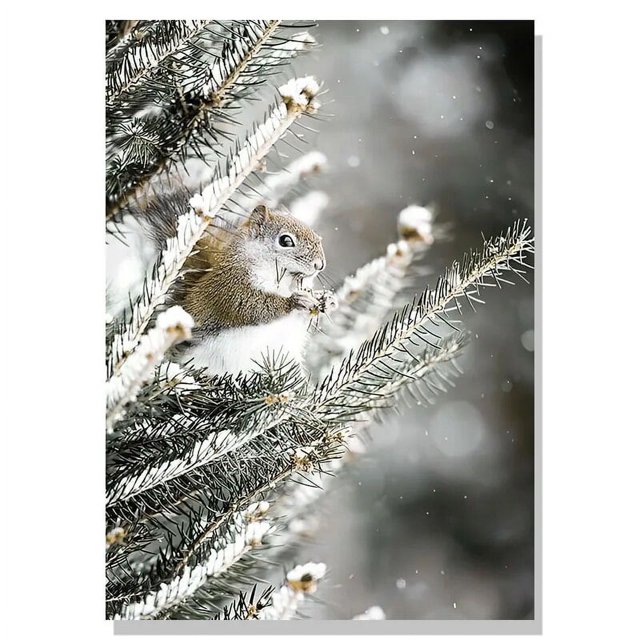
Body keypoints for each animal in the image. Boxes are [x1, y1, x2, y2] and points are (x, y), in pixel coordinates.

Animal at [170, 204, 337, 377]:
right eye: (285, 240)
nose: (320, 265)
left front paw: (327, 299)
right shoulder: (232, 287)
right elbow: (253, 306)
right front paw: (295, 301)